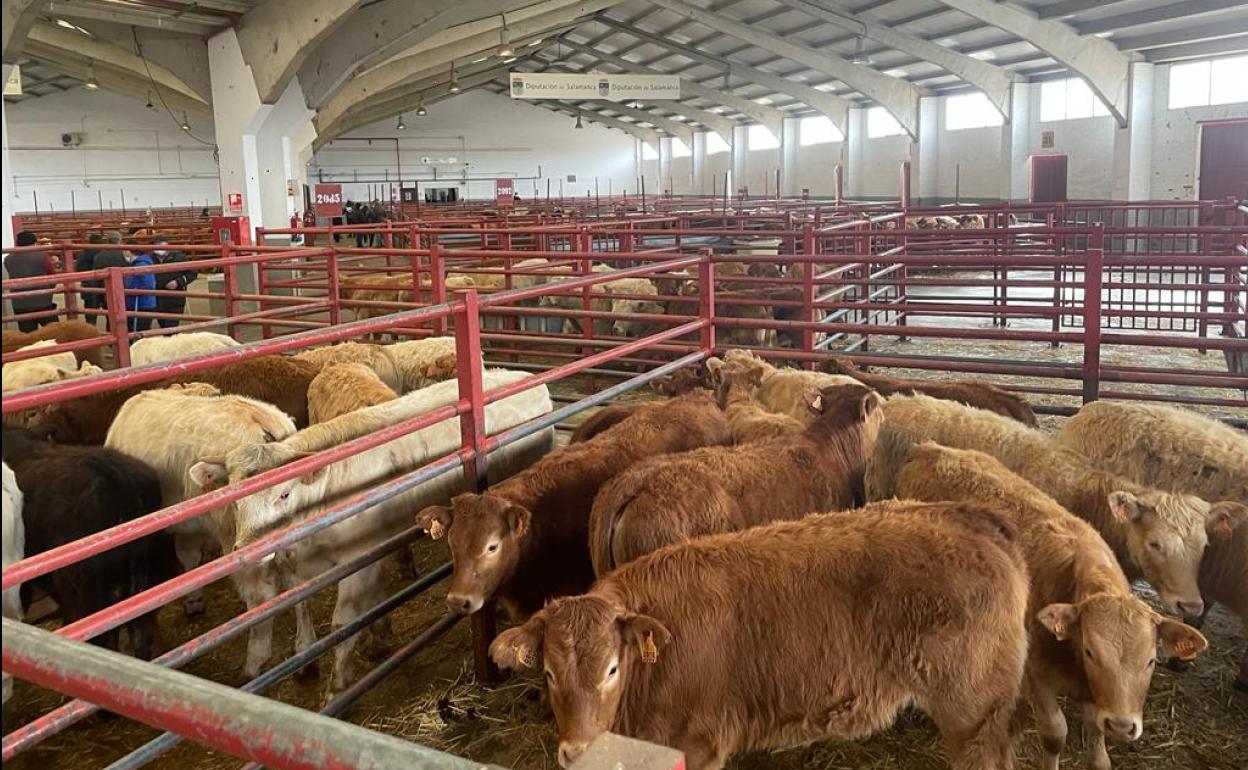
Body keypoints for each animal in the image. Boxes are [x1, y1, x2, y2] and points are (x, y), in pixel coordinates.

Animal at [491, 499, 1028, 768]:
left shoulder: (698, 745)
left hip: (973, 714)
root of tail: (969, 516)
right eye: (549, 673)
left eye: (611, 668)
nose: (575, 753)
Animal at [893, 441, 1203, 768]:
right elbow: (1055, 733)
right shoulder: (1037, 675)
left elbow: (1097, 743)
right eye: (1091, 651)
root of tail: (929, 448)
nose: (1122, 725)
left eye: (1151, 660)